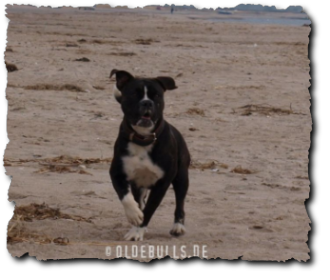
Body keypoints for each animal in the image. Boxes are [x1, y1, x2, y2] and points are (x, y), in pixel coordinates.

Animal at [109, 69, 189, 241]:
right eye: (134, 94)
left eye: (157, 95)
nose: (147, 103)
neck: (143, 139)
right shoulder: (117, 174)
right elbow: (126, 197)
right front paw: (134, 215)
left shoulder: (162, 183)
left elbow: (150, 209)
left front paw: (137, 230)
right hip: (139, 186)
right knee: (139, 200)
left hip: (182, 177)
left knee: (180, 201)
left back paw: (178, 226)